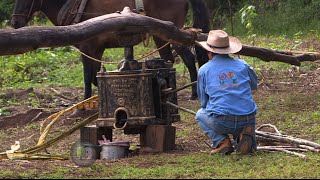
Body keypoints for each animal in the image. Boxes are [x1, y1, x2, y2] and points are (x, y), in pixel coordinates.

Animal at [11, 0, 210, 101]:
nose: (14, 22)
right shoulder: (96, 50)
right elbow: (94, 76)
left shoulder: (87, 48)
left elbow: (87, 77)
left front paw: (84, 102)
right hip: (161, 36)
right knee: (168, 60)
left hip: (173, 33)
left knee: (188, 59)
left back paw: (193, 94)